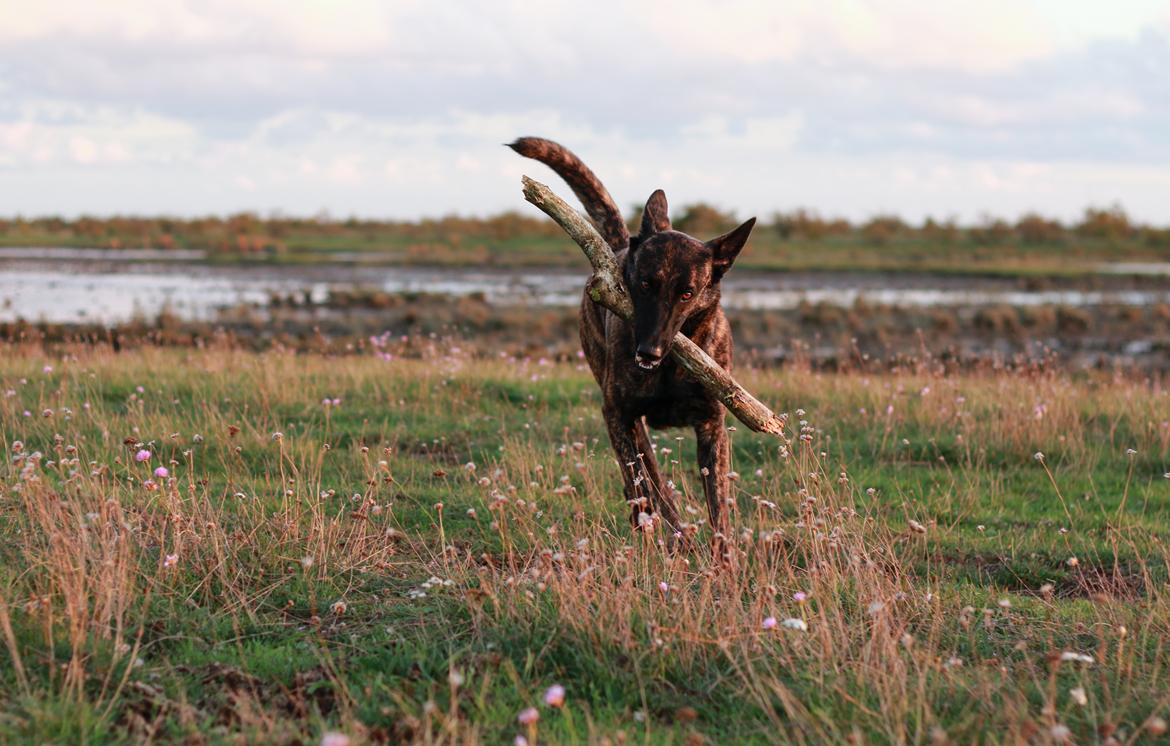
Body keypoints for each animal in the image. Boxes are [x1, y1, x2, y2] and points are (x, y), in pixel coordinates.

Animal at [507, 135, 753, 542]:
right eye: (644, 284)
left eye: (687, 293)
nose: (648, 350)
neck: (671, 365)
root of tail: (625, 241)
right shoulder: (619, 415)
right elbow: (645, 482)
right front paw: (663, 533)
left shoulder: (711, 426)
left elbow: (719, 510)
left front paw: (722, 555)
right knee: (647, 482)